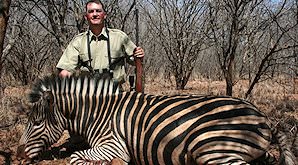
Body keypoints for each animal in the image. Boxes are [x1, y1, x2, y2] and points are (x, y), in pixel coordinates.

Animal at [18, 75, 296, 164]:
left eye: (36, 123)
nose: (18, 153)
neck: (100, 113)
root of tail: (261, 115)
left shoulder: (113, 145)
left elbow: (76, 157)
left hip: (211, 148)